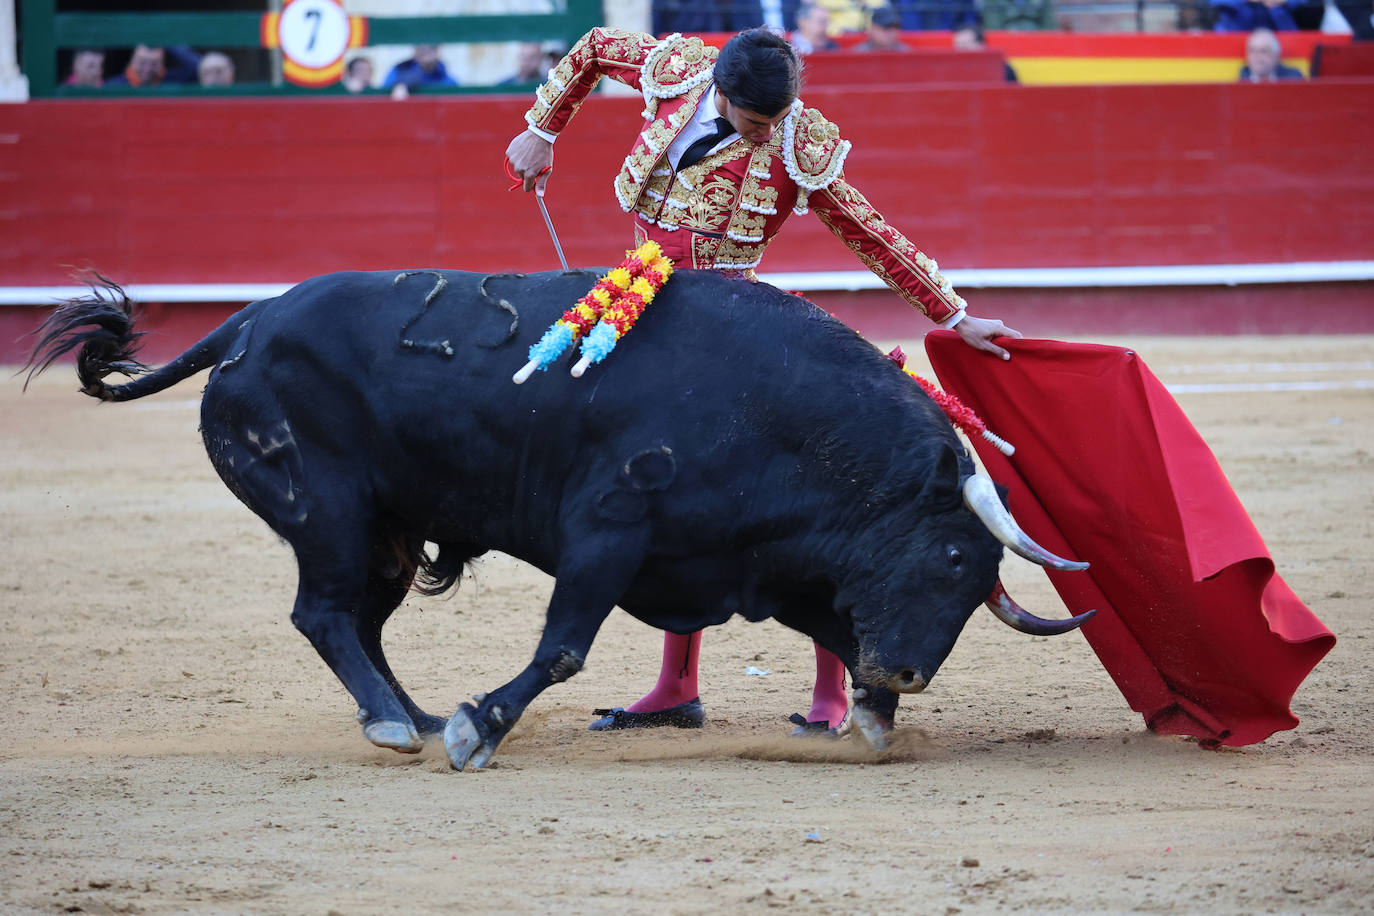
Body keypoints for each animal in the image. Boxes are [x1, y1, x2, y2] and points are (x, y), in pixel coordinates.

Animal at [26, 269, 1088, 769]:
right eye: (950, 554)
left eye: (978, 580)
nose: (905, 670)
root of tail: (246, 324)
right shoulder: (610, 531)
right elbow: (565, 647)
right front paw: (479, 729)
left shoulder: (761, 562)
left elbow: (833, 627)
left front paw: (868, 715)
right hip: (327, 513)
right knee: (323, 614)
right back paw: (401, 726)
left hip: (387, 535)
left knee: (360, 622)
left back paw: (406, 711)